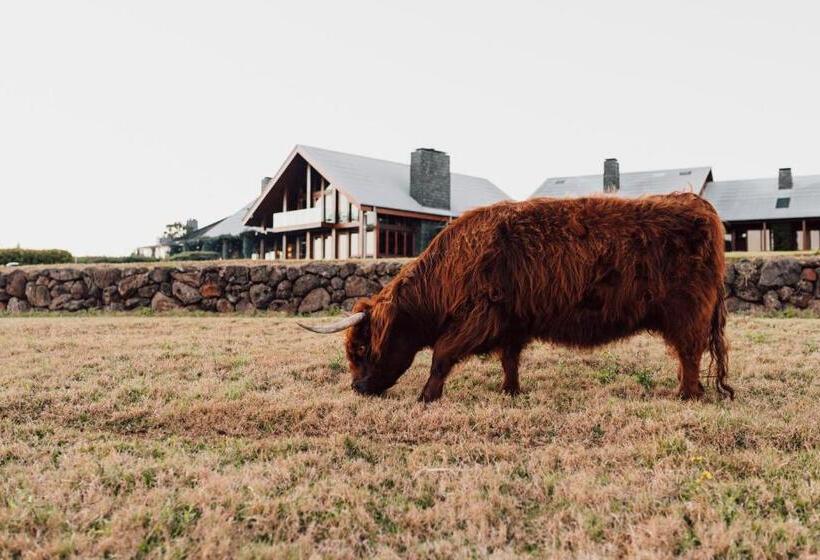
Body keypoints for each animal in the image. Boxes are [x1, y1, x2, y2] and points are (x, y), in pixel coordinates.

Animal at [302, 194, 736, 402]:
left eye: (361, 349)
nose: (358, 388)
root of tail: (697, 203)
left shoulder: (479, 315)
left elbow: (442, 354)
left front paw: (426, 397)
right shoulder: (511, 321)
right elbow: (509, 359)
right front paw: (510, 391)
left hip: (687, 312)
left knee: (690, 353)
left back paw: (686, 395)